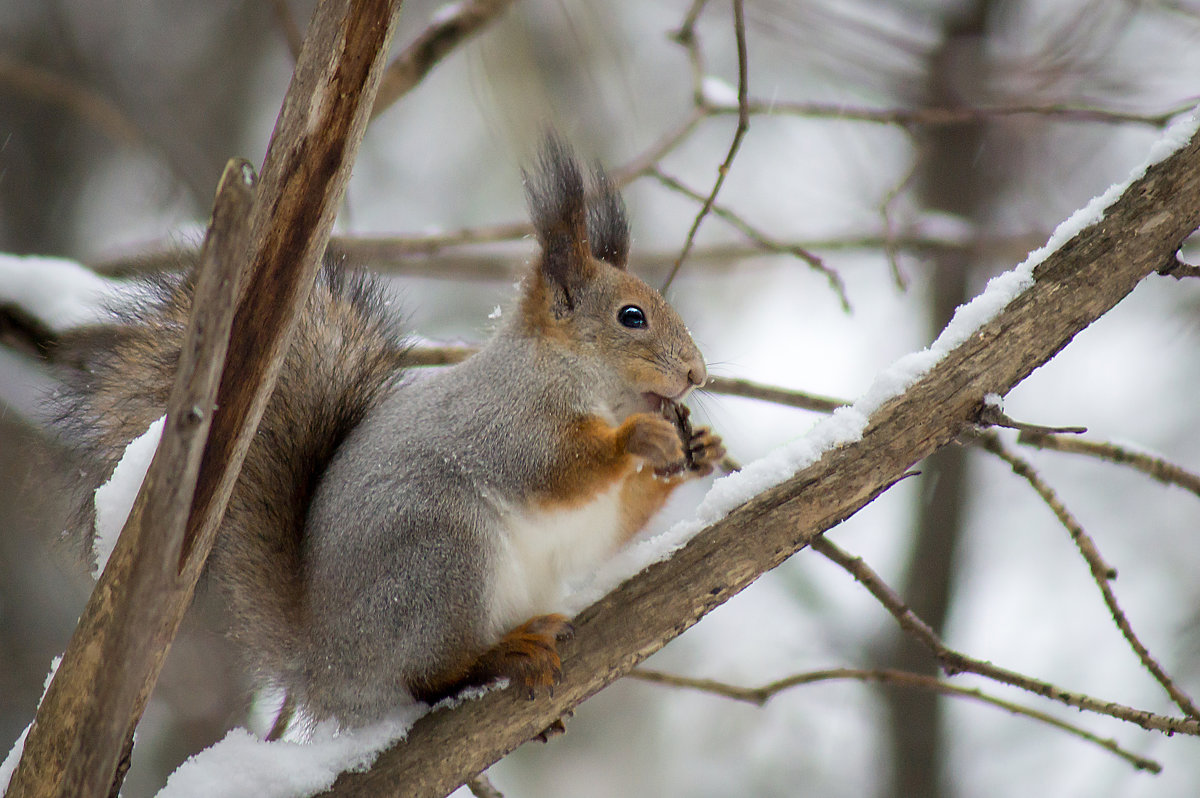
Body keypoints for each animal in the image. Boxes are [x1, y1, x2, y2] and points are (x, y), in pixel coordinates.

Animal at [51, 135, 724, 729]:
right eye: (631, 317)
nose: (698, 373)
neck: (579, 380)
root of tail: (329, 664)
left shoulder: (590, 519)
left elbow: (612, 526)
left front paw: (698, 452)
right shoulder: (507, 422)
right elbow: (554, 469)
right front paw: (640, 440)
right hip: (440, 559)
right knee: (430, 678)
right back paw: (502, 655)